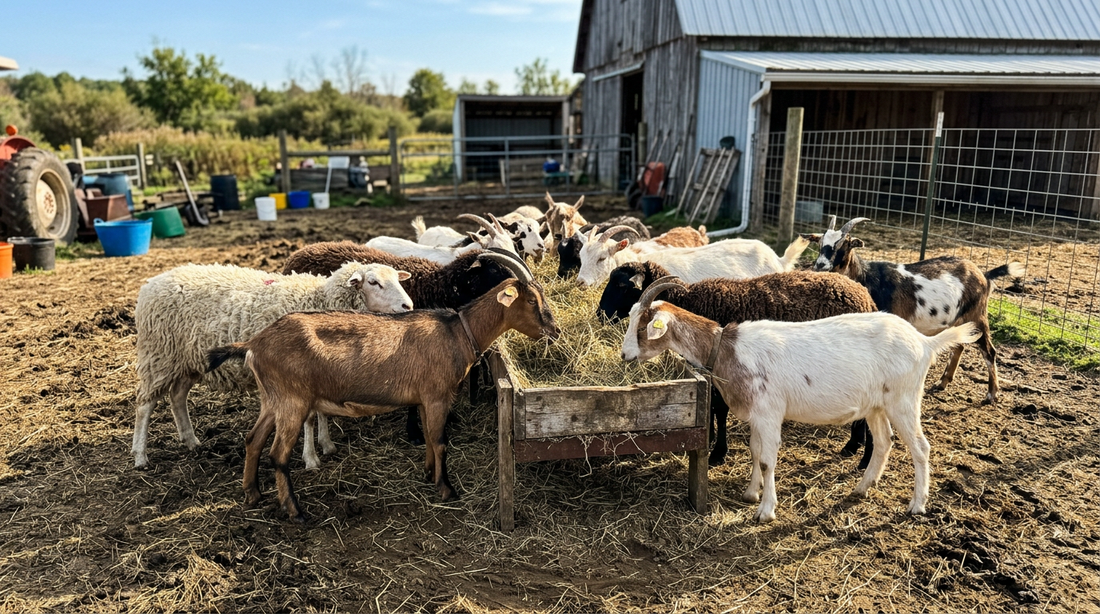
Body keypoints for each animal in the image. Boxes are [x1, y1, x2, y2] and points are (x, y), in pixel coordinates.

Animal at [131, 261, 413, 469]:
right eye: (374, 282)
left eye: (397, 280)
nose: (408, 305)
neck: (319, 298)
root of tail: (151, 283)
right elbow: (309, 418)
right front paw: (311, 459)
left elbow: (322, 412)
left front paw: (327, 445)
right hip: (158, 355)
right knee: (145, 405)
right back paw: (140, 456)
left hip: (187, 359)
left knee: (177, 396)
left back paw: (191, 440)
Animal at [209, 249, 560, 522]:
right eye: (531, 300)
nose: (554, 330)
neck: (458, 331)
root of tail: (253, 344)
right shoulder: (437, 397)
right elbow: (440, 441)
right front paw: (447, 489)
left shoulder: (423, 399)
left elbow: (429, 439)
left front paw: (429, 475)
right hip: (292, 402)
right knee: (278, 454)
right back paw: (295, 511)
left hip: (273, 401)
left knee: (253, 440)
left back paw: (253, 494)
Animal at [598, 263, 879, 467]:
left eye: (621, 285)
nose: (600, 313)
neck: (691, 302)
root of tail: (865, 296)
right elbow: (710, 408)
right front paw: (710, 438)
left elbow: (719, 409)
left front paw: (717, 452)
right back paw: (853, 445)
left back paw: (861, 455)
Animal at [621, 278, 982, 522]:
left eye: (642, 326)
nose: (624, 355)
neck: (726, 347)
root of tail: (923, 342)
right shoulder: (757, 416)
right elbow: (755, 452)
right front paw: (751, 493)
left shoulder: (768, 413)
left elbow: (767, 460)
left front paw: (766, 510)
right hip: (877, 405)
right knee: (883, 441)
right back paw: (862, 487)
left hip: (904, 400)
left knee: (920, 447)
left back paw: (917, 505)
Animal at [802, 216, 1024, 405]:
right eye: (820, 244)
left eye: (845, 244)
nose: (820, 265)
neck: (868, 278)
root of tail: (984, 275)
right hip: (956, 320)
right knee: (959, 345)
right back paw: (942, 382)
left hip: (977, 316)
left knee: (989, 352)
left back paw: (991, 395)